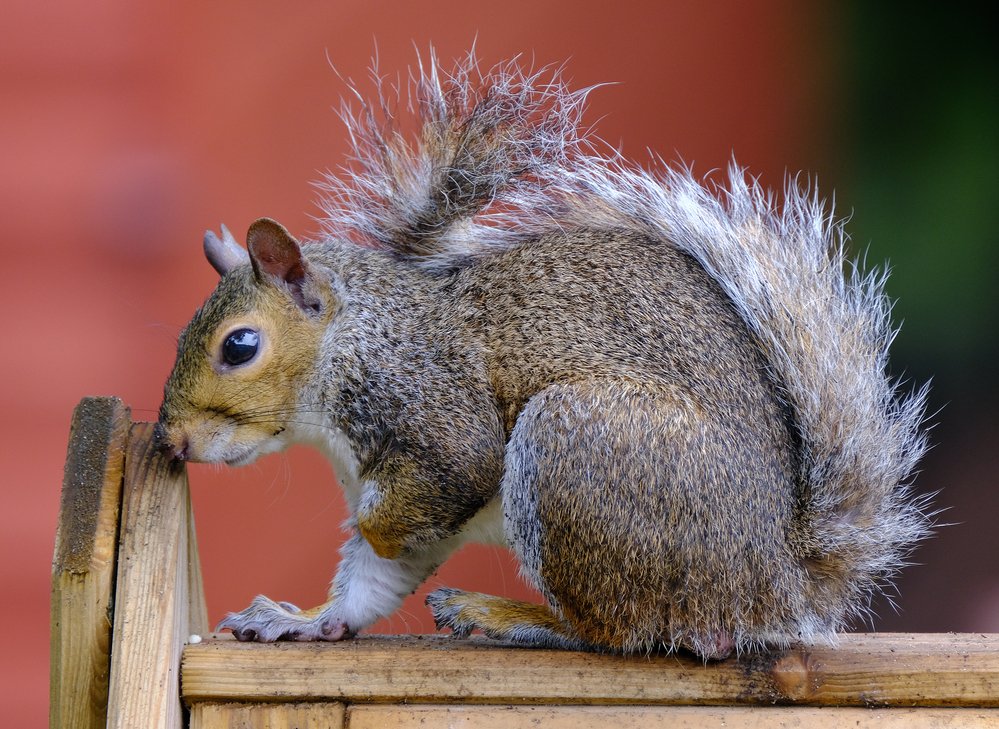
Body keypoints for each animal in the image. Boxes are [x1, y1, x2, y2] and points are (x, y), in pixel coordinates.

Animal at [155, 54, 932, 660]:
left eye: (239, 346)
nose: (171, 438)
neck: (352, 341)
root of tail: (773, 583)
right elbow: (372, 580)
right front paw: (303, 621)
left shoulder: (432, 410)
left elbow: (439, 484)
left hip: (576, 447)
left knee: (620, 629)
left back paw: (508, 614)